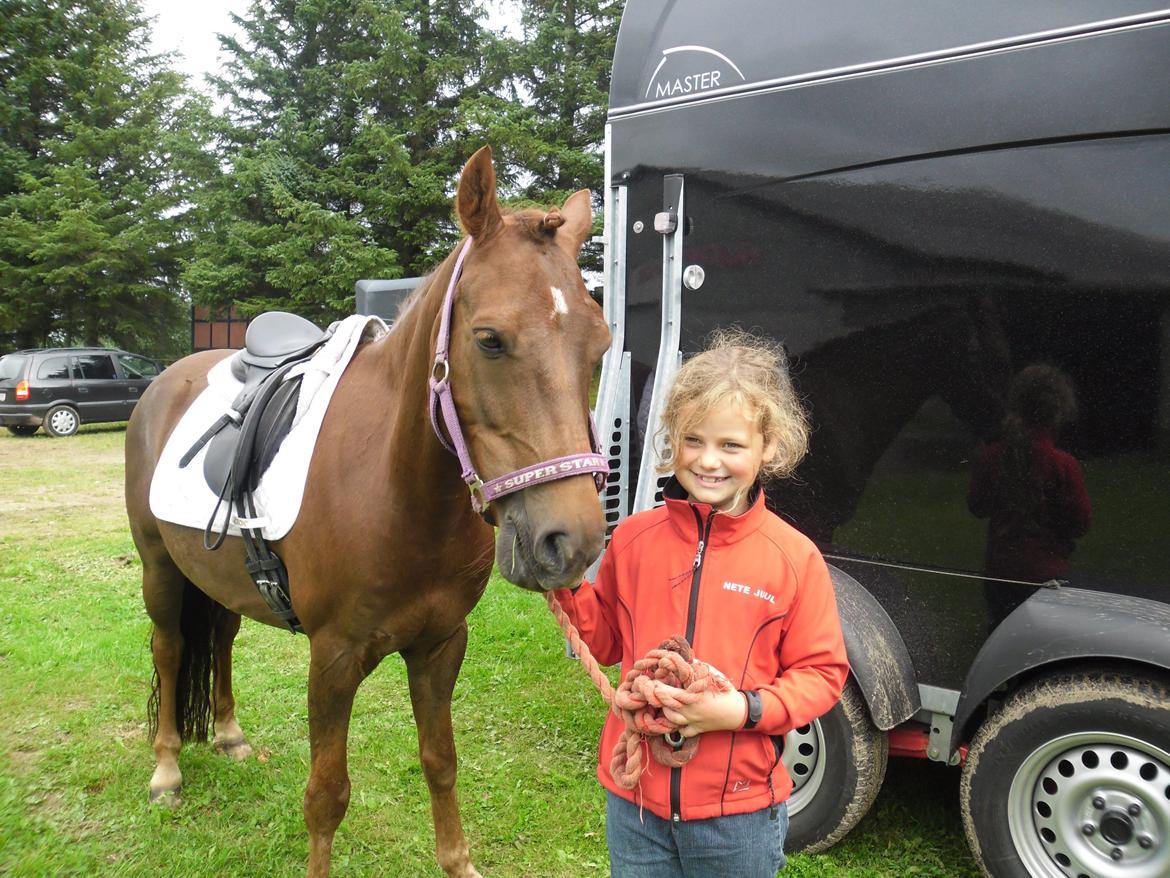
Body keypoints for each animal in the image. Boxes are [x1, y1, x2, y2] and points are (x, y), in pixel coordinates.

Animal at [123, 146, 611, 878]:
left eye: (600, 343)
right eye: (489, 339)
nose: (571, 541)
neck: (398, 495)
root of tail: (165, 380)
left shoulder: (441, 644)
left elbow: (440, 762)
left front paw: (457, 862)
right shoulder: (333, 659)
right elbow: (327, 796)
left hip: (223, 579)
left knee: (224, 637)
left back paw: (231, 737)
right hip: (159, 570)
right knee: (169, 647)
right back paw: (166, 771)